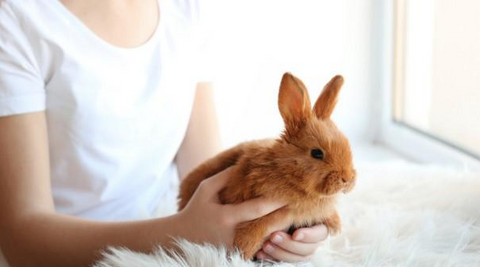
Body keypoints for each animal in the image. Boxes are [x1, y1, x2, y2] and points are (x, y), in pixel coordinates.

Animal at [177, 72, 356, 260]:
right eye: (317, 153)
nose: (348, 179)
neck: (285, 169)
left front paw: (336, 225)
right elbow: (257, 226)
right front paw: (243, 251)